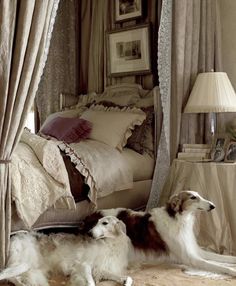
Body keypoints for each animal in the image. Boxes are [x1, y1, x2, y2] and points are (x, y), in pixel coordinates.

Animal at [0, 217, 133, 286]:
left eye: (105, 223)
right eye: (97, 222)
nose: (89, 233)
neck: (110, 244)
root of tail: (14, 237)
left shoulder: (100, 269)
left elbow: (127, 278)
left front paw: (125, 281)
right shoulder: (84, 264)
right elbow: (91, 283)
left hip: (31, 268)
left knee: (13, 278)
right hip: (24, 263)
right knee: (4, 275)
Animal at [81, 191, 236, 276]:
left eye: (200, 195)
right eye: (193, 197)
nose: (213, 206)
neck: (178, 219)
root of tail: (87, 217)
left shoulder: (195, 251)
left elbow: (223, 258)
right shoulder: (190, 258)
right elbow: (219, 265)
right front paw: (232, 271)